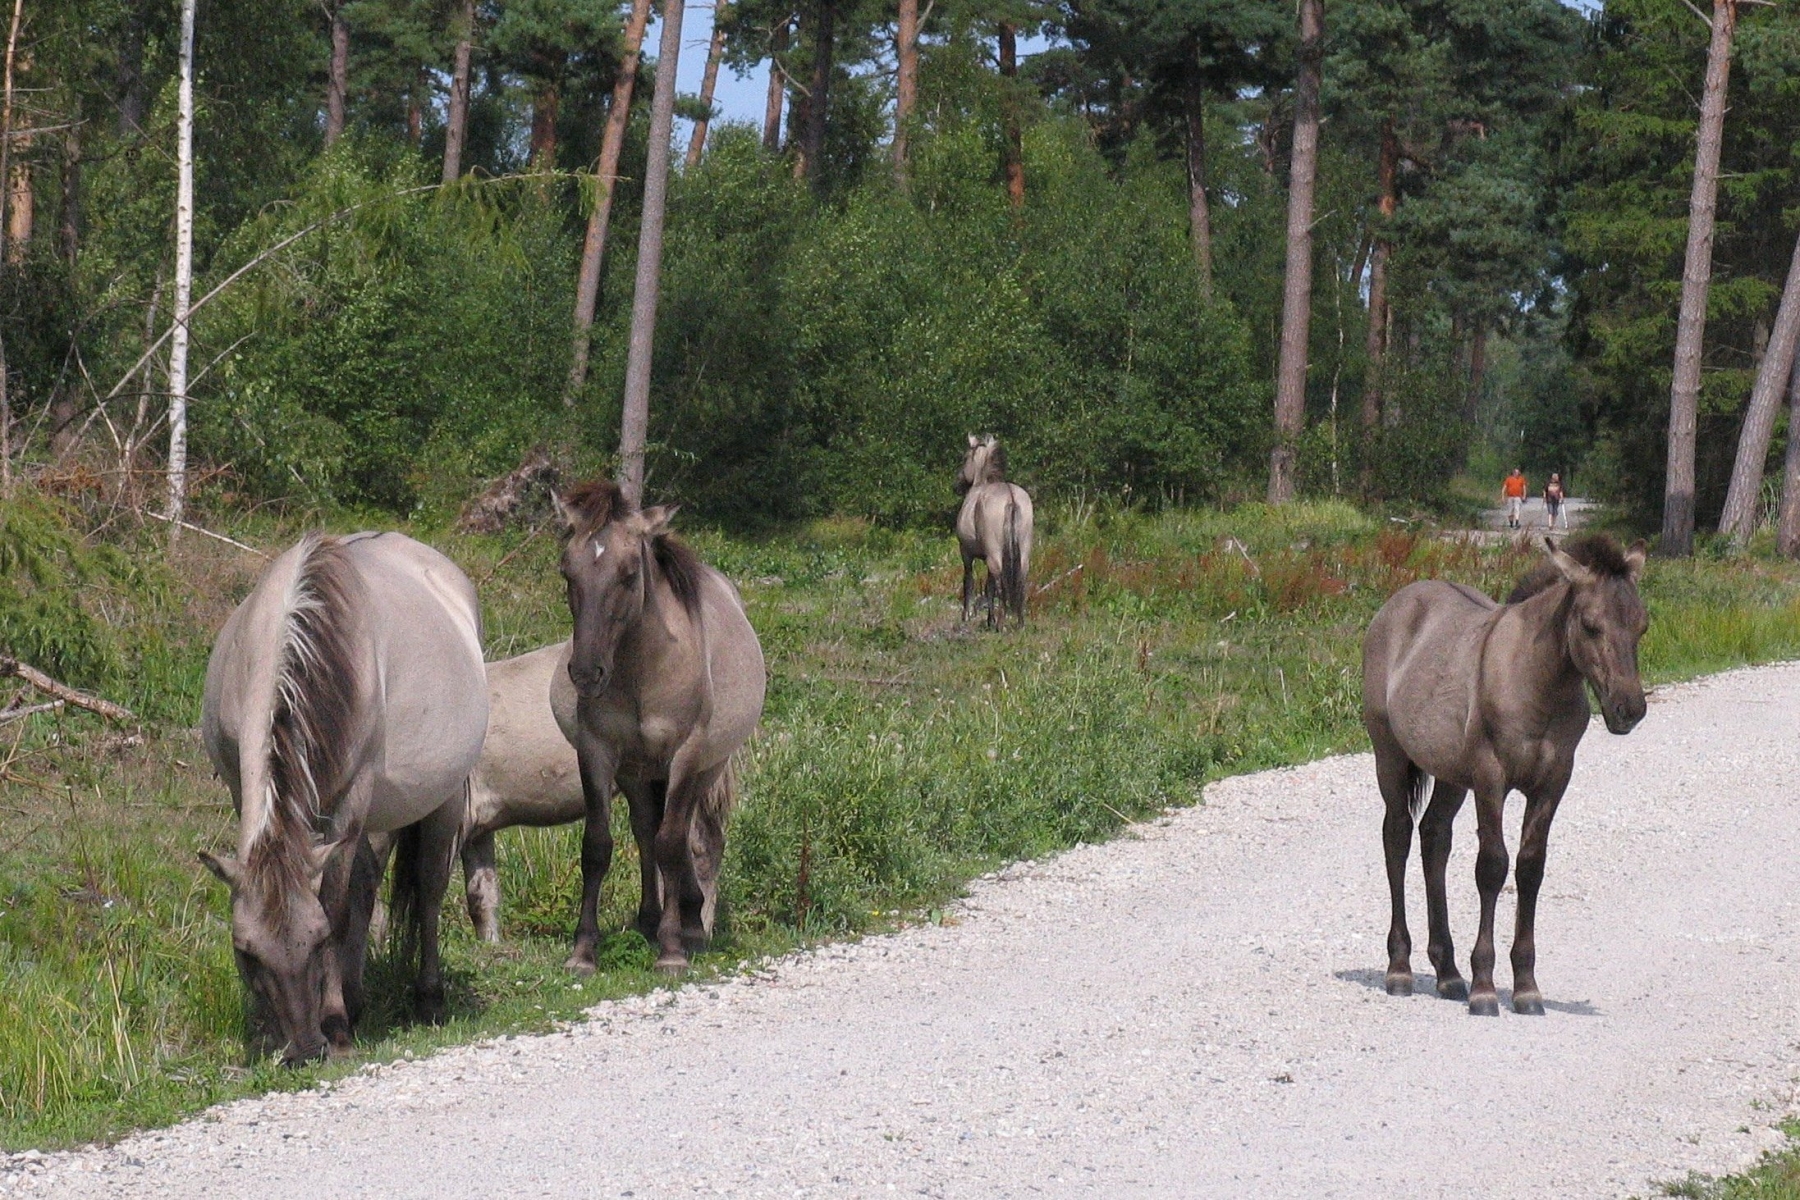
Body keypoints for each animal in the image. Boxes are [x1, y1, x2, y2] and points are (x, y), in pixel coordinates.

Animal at [202, 532, 493, 1057]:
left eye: (317, 942)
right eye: (245, 951)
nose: (302, 1048)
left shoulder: (350, 803)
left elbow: (335, 906)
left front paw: (335, 1023)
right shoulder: (241, 790)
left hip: (438, 802)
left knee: (429, 890)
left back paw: (428, 998)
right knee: (368, 884)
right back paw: (358, 1000)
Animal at [957, 437, 1029, 633]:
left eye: (965, 457)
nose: (957, 484)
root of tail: (1011, 498)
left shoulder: (966, 553)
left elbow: (969, 581)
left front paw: (966, 615)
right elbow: (988, 587)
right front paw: (989, 619)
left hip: (994, 555)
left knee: (1000, 584)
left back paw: (1000, 623)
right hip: (1024, 552)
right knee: (1020, 580)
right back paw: (1020, 622)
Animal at [1360, 539, 1648, 1021]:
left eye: (1642, 626)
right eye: (1591, 625)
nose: (1629, 709)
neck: (1535, 682)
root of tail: (1395, 605)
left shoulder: (1552, 782)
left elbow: (1530, 868)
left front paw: (1527, 988)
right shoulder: (1490, 777)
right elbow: (1492, 867)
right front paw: (1485, 989)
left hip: (1451, 775)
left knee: (1434, 838)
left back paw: (1448, 973)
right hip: (1391, 757)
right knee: (1397, 837)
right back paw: (1400, 969)